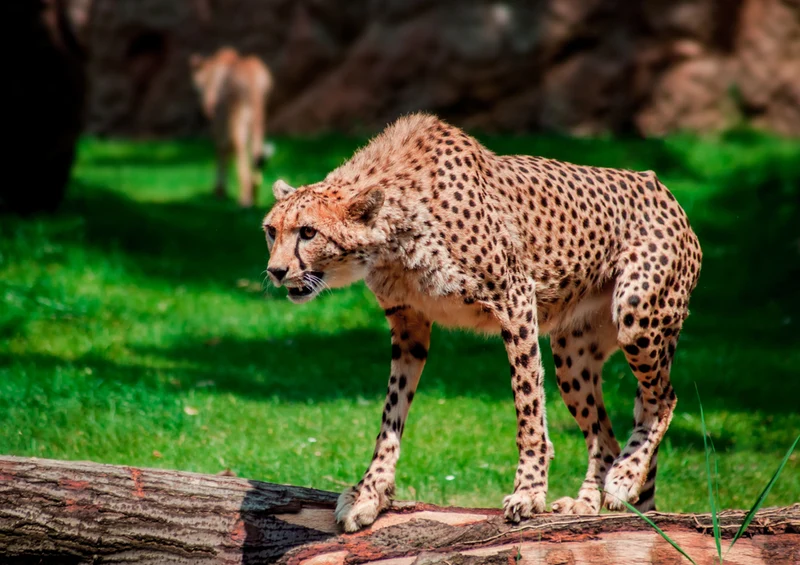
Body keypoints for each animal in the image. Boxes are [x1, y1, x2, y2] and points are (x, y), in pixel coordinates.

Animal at [190, 47, 273, 208]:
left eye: (198, 85)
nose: (205, 107)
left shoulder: (220, 121)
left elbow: (221, 149)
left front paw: (220, 191)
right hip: (258, 119)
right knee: (256, 153)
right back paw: (254, 197)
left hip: (237, 116)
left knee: (239, 150)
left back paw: (244, 200)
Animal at [261, 113, 702, 532]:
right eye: (271, 231)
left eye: (308, 232)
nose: (276, 271)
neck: (393, 236)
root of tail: (658, 185)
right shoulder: (409, 325)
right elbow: (391, 413)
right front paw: (369, 492)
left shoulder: (516, 300)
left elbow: (527, 405)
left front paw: (529, 491)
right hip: (573, 357)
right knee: (605, 437)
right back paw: (589, 501)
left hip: (636, 314)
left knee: (662, 399)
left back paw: (625, 477)